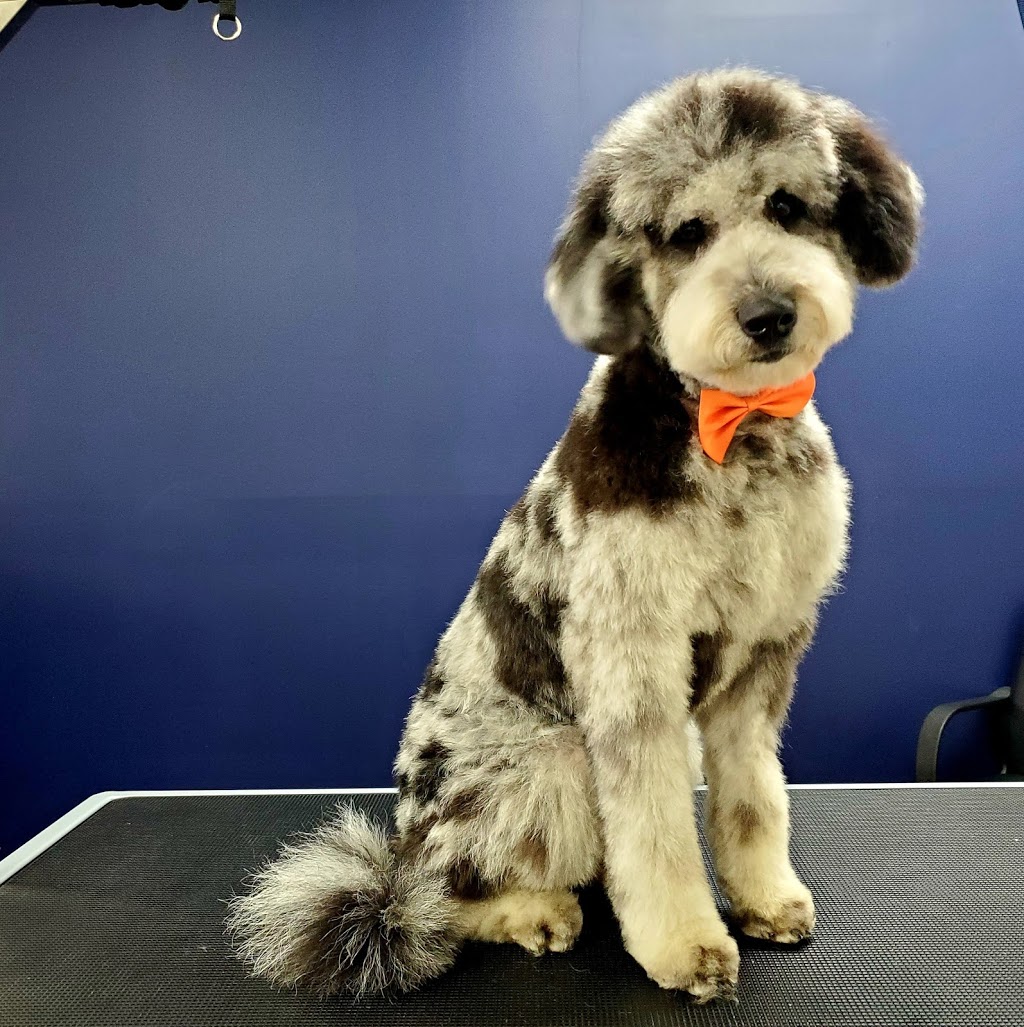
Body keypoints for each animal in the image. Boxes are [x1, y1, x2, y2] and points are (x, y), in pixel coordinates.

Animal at [228, 66, 924, 1002]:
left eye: (785, 205)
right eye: (687, 233)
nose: (768, 313)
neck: (725, 427)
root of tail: (400, 849)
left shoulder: (766, 649)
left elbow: (754, 794)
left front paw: (765, 898)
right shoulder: (631, 657)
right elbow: (655, 826)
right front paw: (685, 944)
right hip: (548, 761)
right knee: (449, 894)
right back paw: (532, 911)